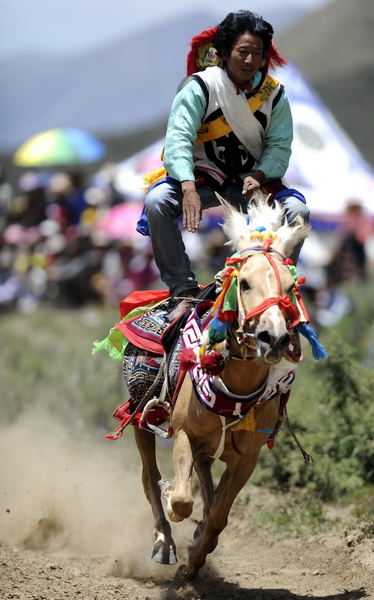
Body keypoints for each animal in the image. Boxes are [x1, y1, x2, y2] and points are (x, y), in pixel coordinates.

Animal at [130, 192, 312, 584]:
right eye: (244, 283)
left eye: (290, 289)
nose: (273, 338)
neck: (234, 385)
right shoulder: (184, 433)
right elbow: (182, 500)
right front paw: (175, 506)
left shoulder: (247, 459)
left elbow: (218, 518)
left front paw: (192, 566)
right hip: (141, 416)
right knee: (149, 476)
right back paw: (163, 542)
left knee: (203, 477)